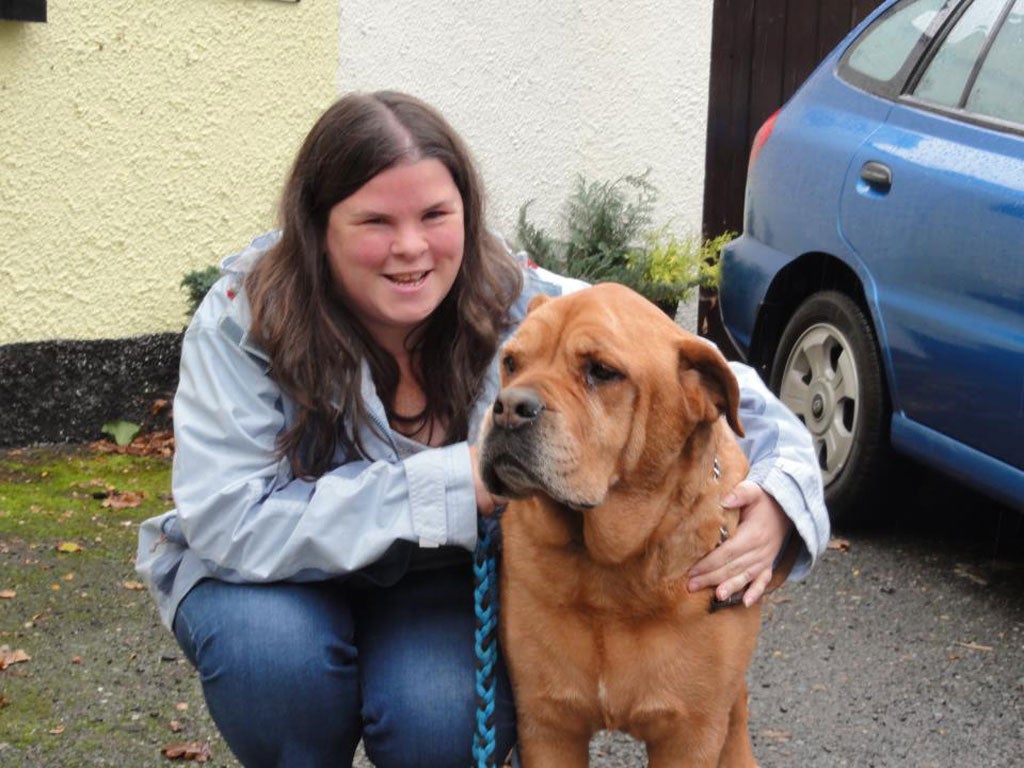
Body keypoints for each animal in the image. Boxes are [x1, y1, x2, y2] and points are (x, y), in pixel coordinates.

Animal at [479, 284, 790, 768]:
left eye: (602, 372)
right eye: (511, 362)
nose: (509, 407)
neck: (609, 574)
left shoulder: (689, 735)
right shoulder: (546, 723)